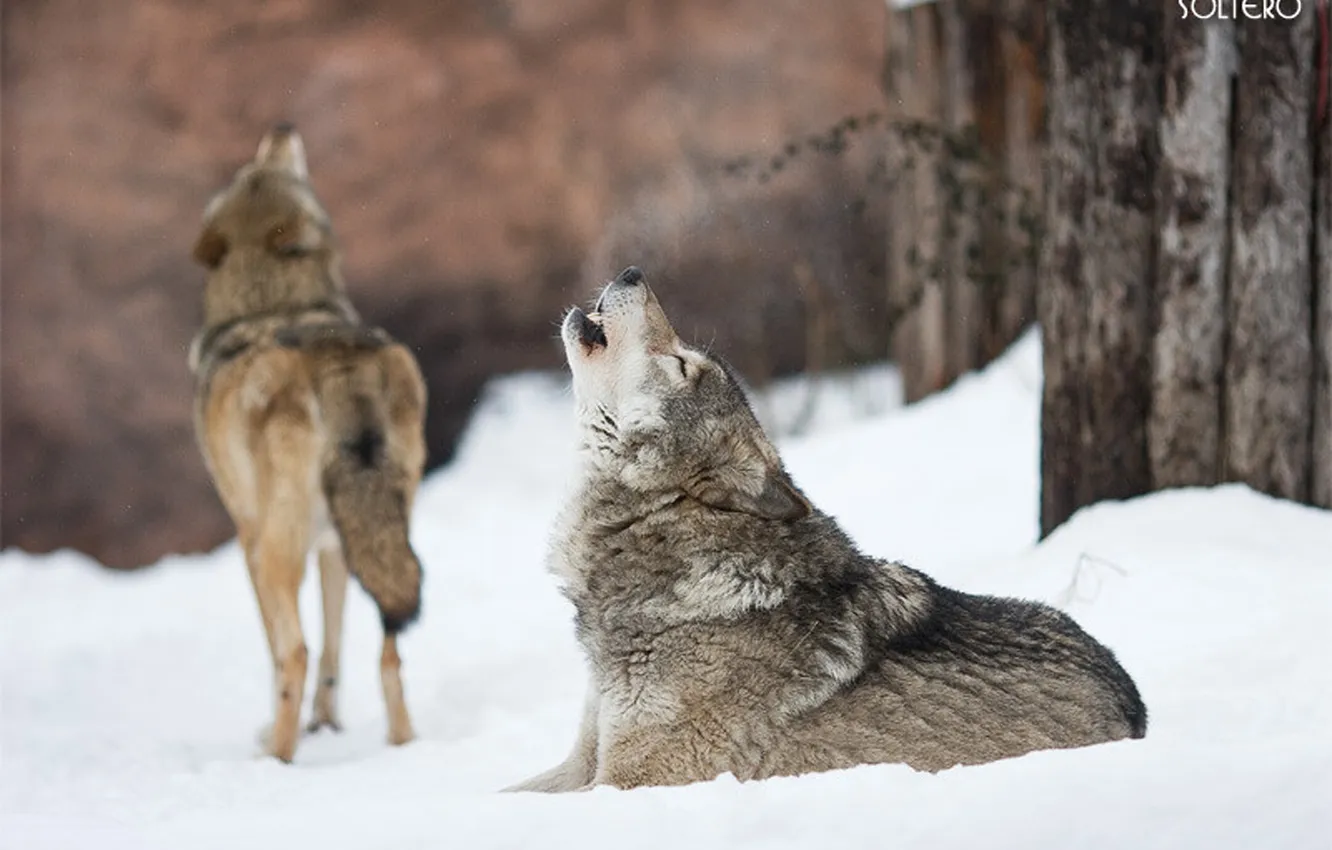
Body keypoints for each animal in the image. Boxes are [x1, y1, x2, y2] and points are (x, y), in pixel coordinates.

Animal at [189, 124, 426, 762]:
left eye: (249, 172)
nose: (281, 128)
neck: (280, 304)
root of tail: (333, 354)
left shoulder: (247, 540)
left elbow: (279, 652)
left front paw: (288, 730)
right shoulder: (333, 547)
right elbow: (335, 642)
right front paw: (328, 722)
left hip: (277, 550)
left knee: (294, 652)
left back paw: (275, 757)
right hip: (388, 531)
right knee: (391, 647)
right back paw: (401, 745)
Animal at [507, 266, 1146, 791]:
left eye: (682, 363)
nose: (633, 271)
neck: (657, 529)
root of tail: (1137, 708)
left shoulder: (632, 779)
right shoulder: (582, 762)